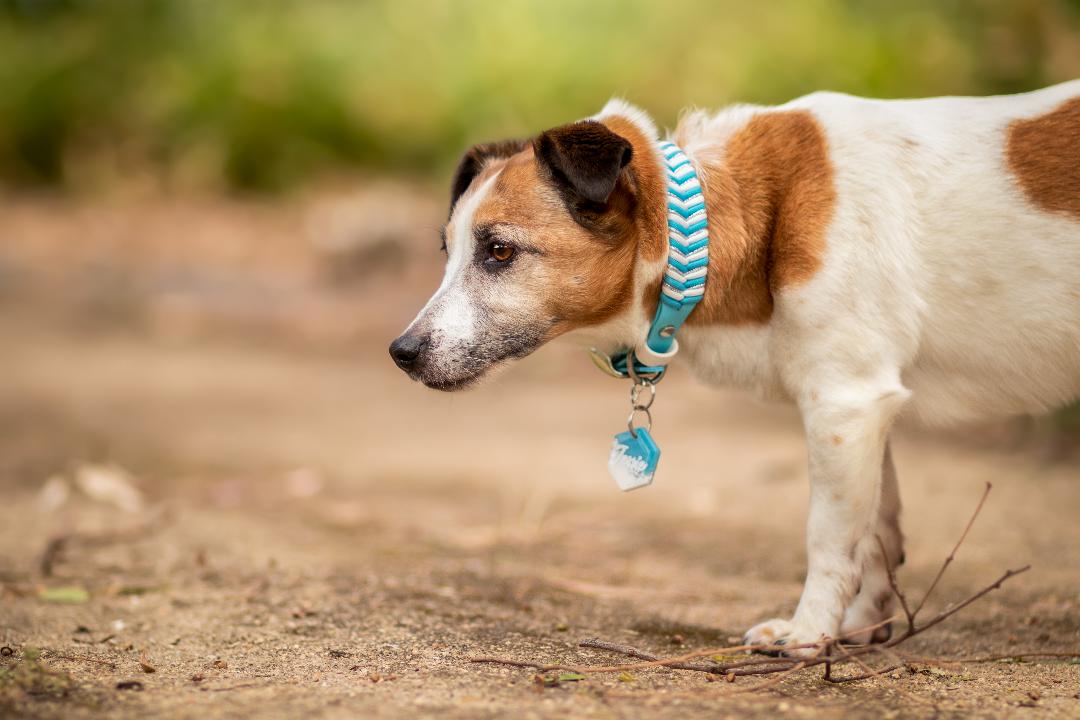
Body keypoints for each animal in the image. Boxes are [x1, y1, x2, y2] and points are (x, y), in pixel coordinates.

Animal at [388, 83, 1080, 651]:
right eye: (449, 252)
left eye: (500, 251)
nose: (402, 352)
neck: (735, 215)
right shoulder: (867, 410)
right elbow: (875, 531)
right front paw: (858, 627)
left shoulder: (842, 403)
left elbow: (830, 534)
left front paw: (809, 633)